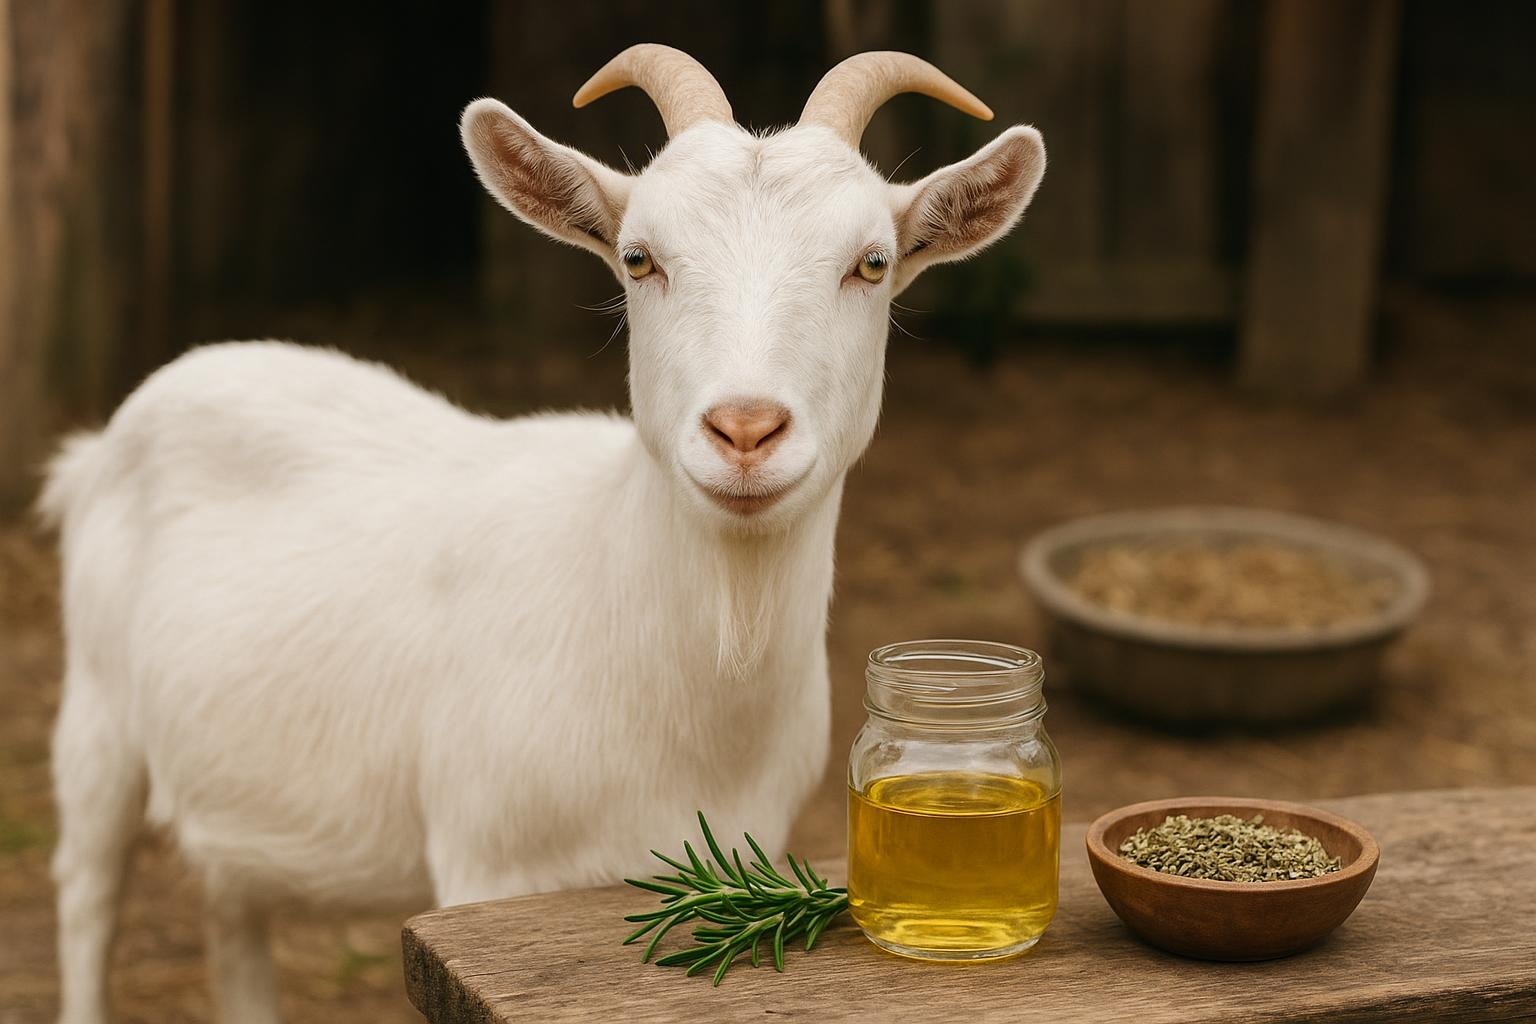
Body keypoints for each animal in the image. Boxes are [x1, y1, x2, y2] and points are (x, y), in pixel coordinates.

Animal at [42, 46, 1045, 1024]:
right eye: (639, 257)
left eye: (871, 263)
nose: (746, 430)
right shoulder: (488, 860)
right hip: (94, 717)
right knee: (85, 899)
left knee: (232, 914)